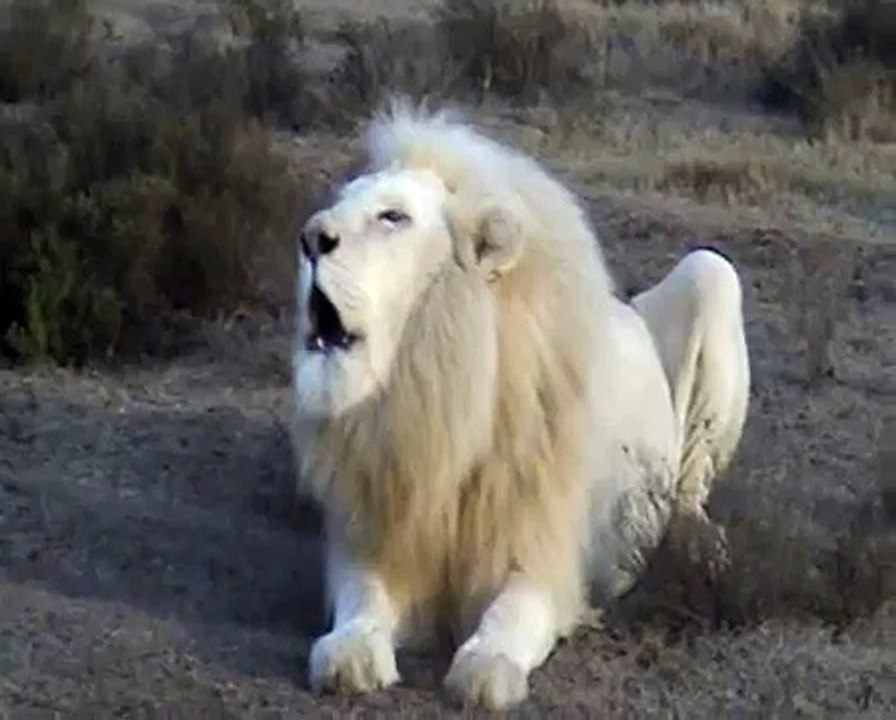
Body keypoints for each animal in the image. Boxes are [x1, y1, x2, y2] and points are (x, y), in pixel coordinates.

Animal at [291, 101, 750, 710]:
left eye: (393, 217)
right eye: (341, 201)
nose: (309, 237)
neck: (436, 392)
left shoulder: (545, 552)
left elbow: (514, 612)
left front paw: (488, 669)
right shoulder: (377, 531)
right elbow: (362, 599)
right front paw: (350, 656)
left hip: (712, 273)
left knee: (692, 485)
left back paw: (701, 543)